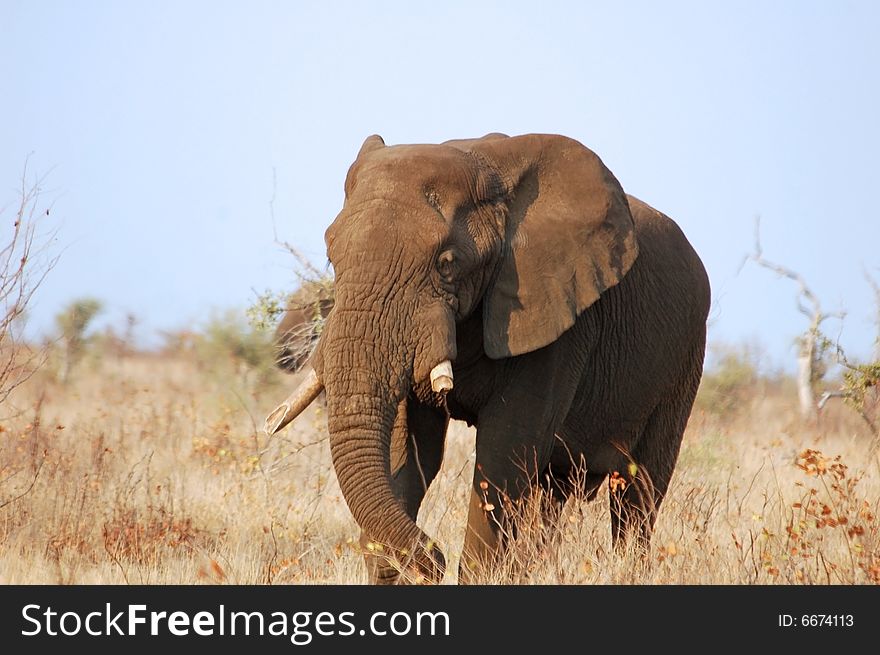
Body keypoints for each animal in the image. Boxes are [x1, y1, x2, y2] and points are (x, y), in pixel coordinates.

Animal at [264, 133, 712, 584]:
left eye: (446, 263)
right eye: (331, 257)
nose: (433, 558)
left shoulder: (558, 322)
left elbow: (502, 453)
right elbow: (409, 450)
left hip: (686, 356)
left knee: (638, 492)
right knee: (553, 491)